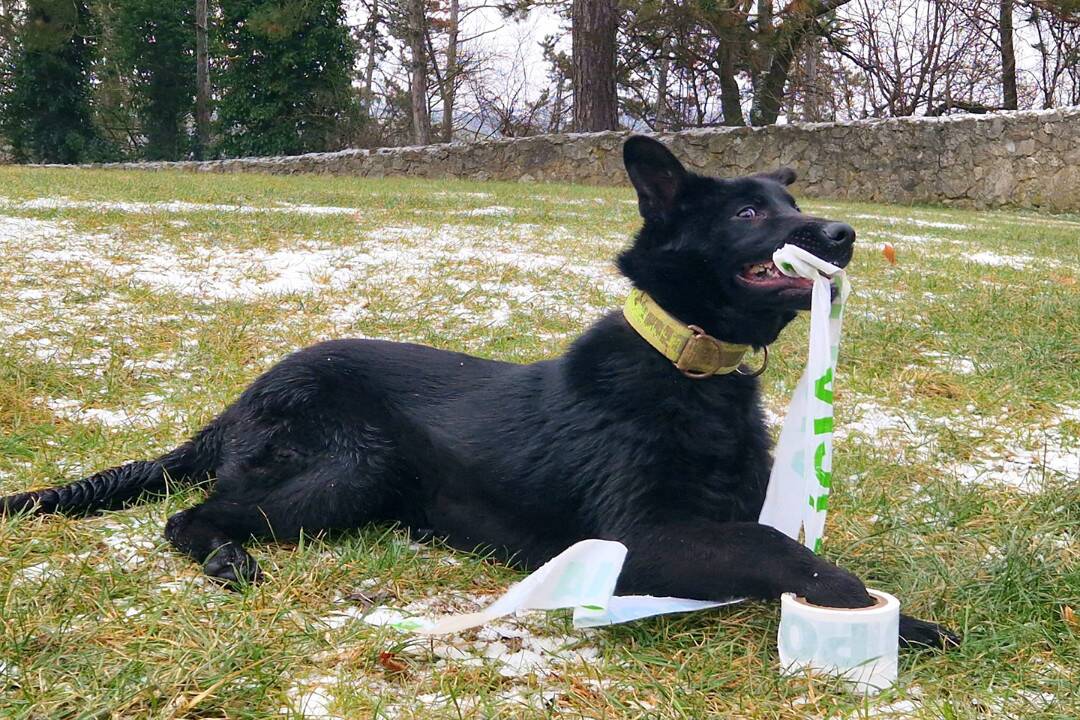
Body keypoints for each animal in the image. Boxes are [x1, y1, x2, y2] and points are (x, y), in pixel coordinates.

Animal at [4, 134, 959, 647]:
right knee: (189, 516)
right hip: (351, 466)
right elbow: (782, 553)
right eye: (750, 214)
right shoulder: (640, 539)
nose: (844, 233)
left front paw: (909, 625)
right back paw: (229, 558)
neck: (687, 372)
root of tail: (244, 397)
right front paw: (860, 605)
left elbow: (785, 548)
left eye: (786, 203)